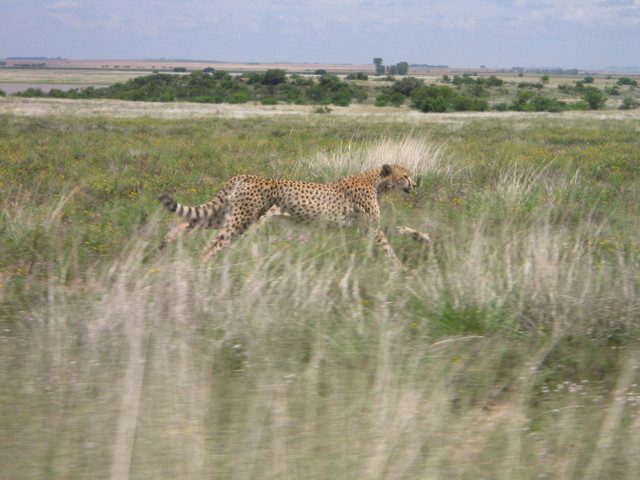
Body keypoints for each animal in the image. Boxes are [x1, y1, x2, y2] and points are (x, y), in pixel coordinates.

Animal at [158, 164, 432, 262]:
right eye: (405, 175)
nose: (415, 184)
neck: (376, 182)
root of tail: (245, 175)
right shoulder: (370, 228)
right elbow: (387, 246)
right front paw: (399, 270)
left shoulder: (365, 227)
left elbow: (397, 229)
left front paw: (422, 237)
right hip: (241, 221)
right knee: (212, 246)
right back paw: (203, 270)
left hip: (227, 215)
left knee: (190, 222)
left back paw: (166, 242)